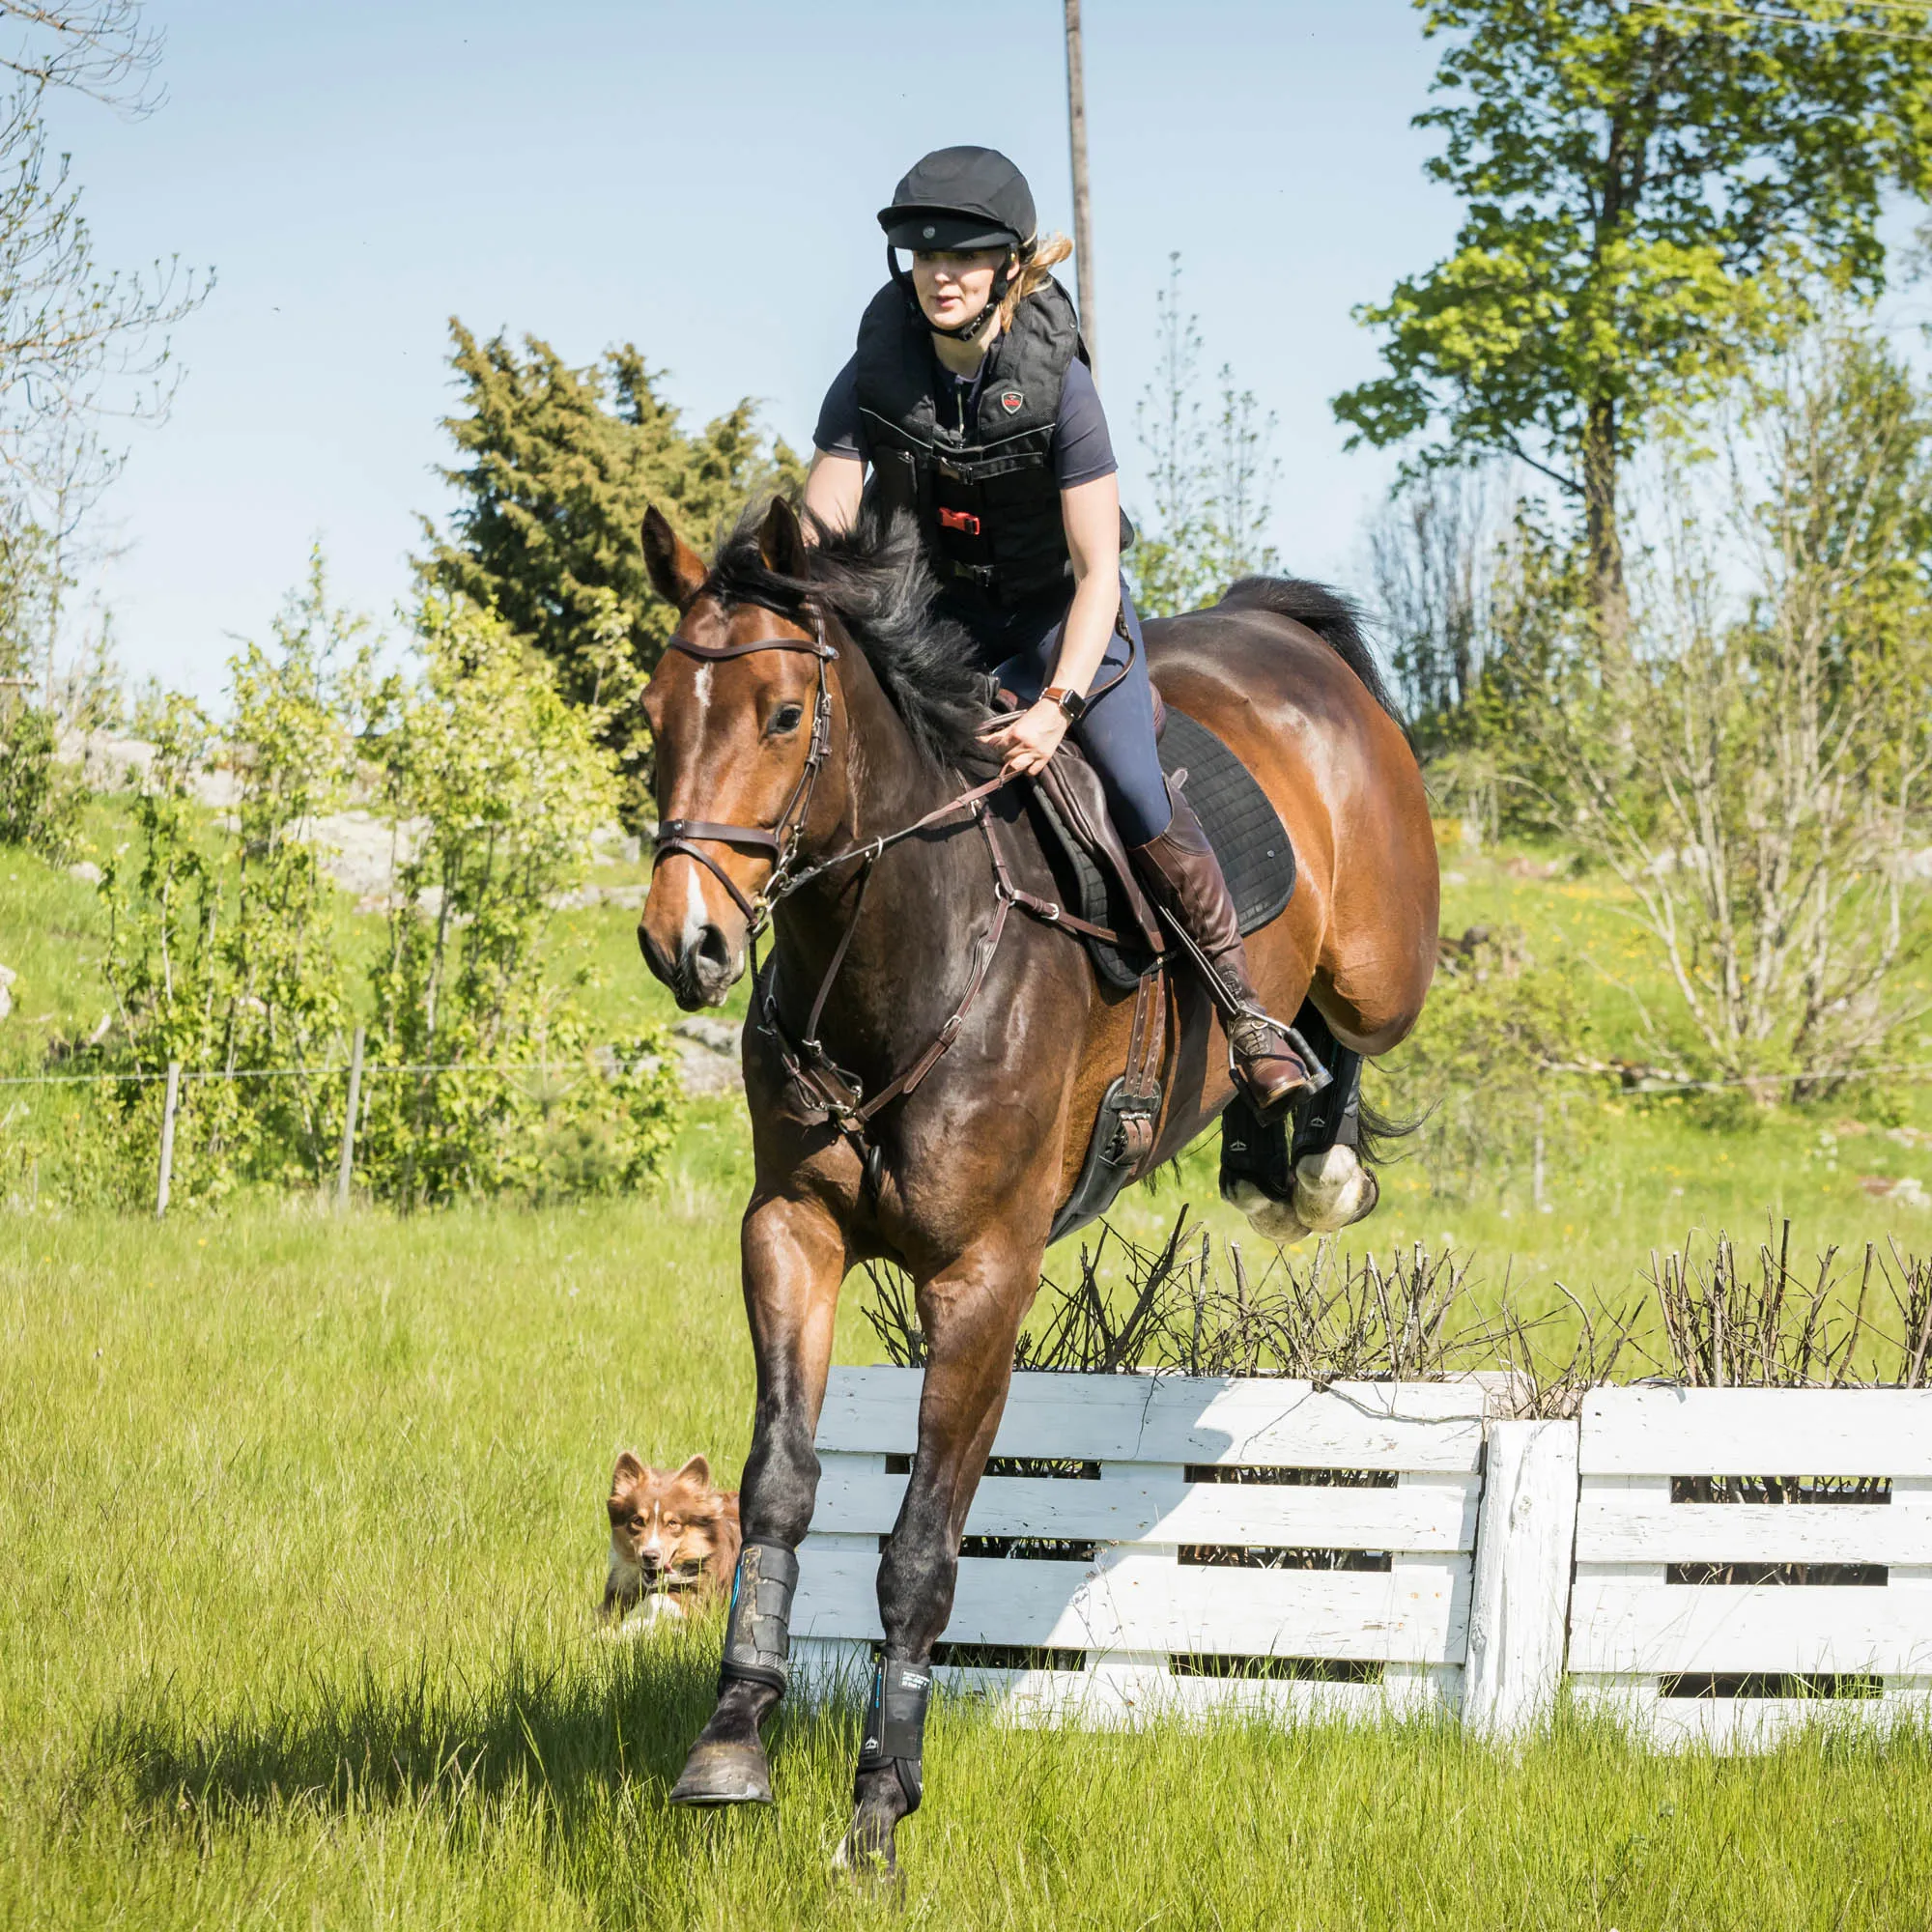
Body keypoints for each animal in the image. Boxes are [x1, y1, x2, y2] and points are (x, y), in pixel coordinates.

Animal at [630, 495, 1437, 1870]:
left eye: (784, 715)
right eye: (650, 717)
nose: (686, 943)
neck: (894, 949)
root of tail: (1273, 625)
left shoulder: (981, 1278)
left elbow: (919, 1549)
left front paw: (877, 1808)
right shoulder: (789, 1231)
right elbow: (778, 1481)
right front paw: (731, 1738)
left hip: (1383, 956)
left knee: (1345, 1025)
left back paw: (1309, 1154)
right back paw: (1256, 1149)